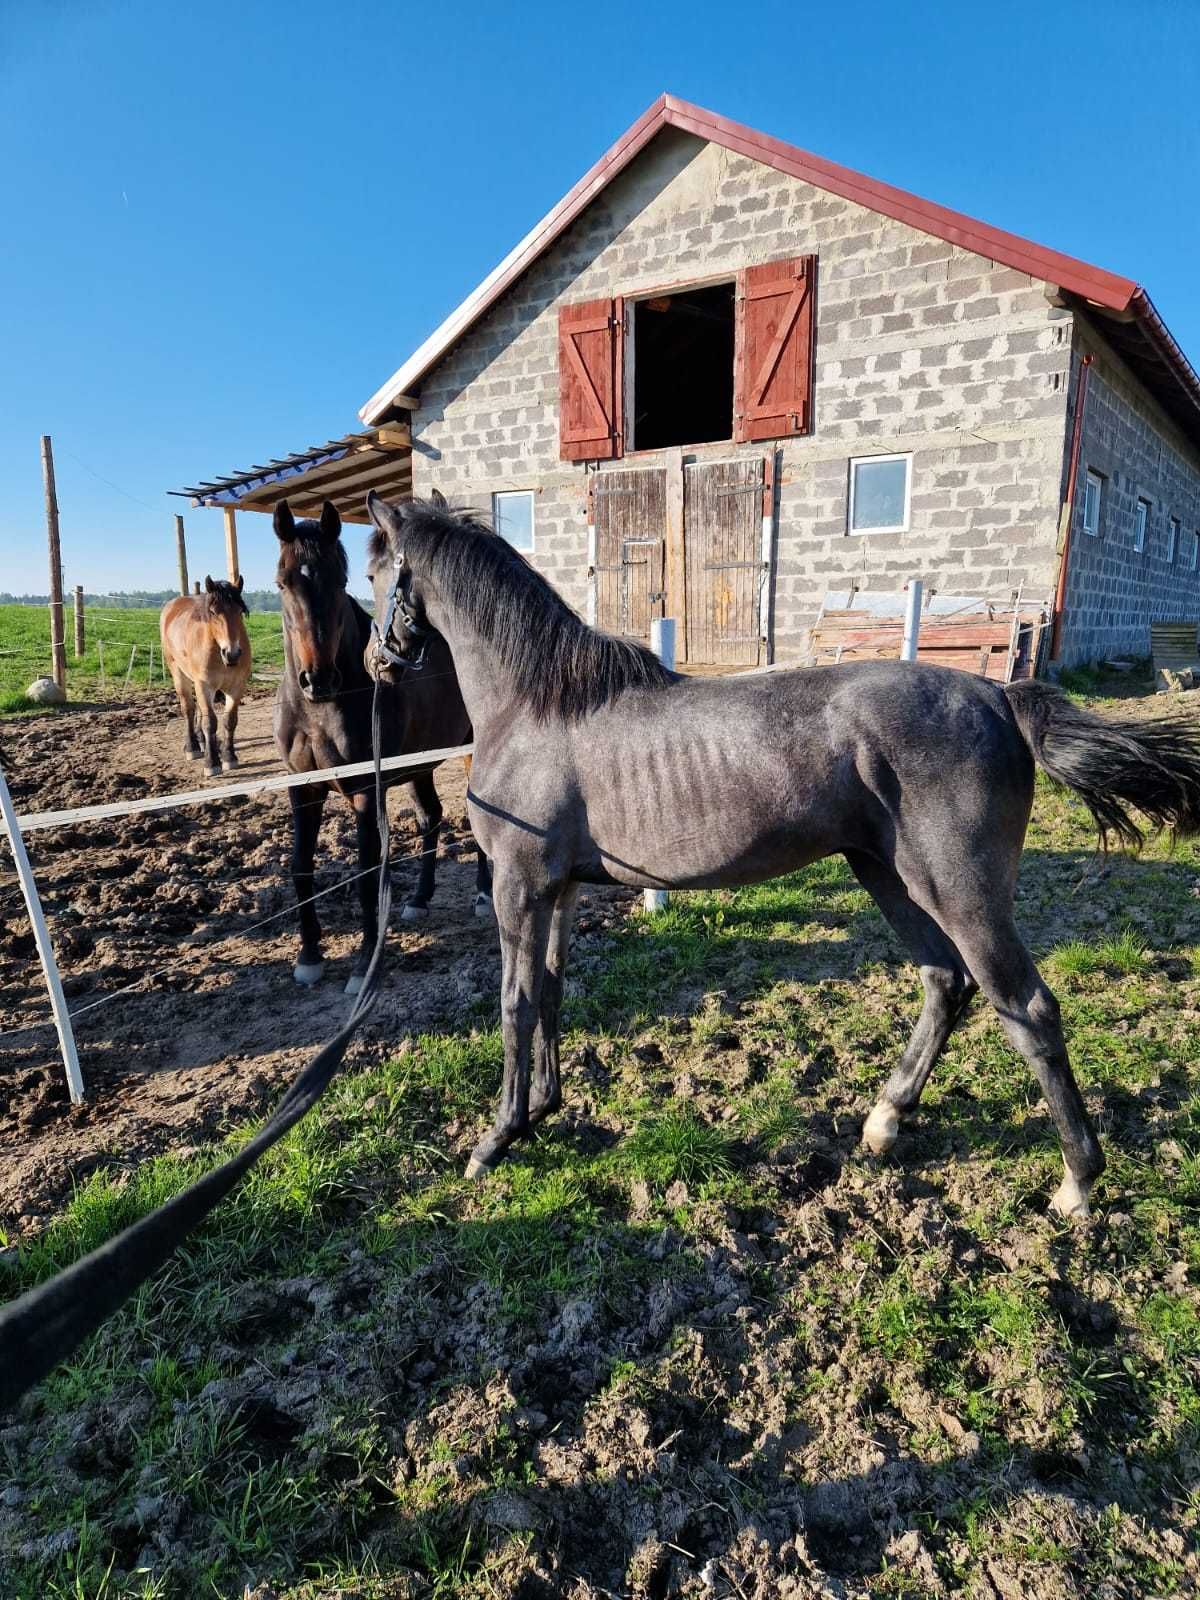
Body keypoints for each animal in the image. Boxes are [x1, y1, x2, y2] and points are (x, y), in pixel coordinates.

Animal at [160, 579, 254, 777]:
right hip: (178, 673)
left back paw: (202, 741)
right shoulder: (204, 685)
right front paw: (211, 763)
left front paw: (229, 757)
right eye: (213, 612)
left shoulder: (237, 686)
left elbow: (229, 720)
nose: (232, 654)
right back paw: (192, 747)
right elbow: (210, 722)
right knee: (188, 709)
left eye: (240, 611)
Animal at [275, 499, 489, 985]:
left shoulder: (363, 793)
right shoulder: (302, 788)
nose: (318, 679)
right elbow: (300, 866)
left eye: (340, 582)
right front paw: (309, 956)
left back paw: (484, 896)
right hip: (419, 765)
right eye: (282, 582)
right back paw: (419, 899)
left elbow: (366, 872)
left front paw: (364, 963)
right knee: (431, 817)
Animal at [366, 492, 1200, 1216]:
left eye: (374, 574)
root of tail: (1000, 697)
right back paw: (884, 1122)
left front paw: (496, 1139)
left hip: (960, 892)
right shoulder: (559, 890)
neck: (539, 706)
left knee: (1026, 1009)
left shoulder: (519, 887)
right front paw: (543, 1109)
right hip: (887, 875)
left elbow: (513, 1002)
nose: (379, 664)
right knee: (946, 983)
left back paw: (1077, 1182)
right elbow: (549, 992)